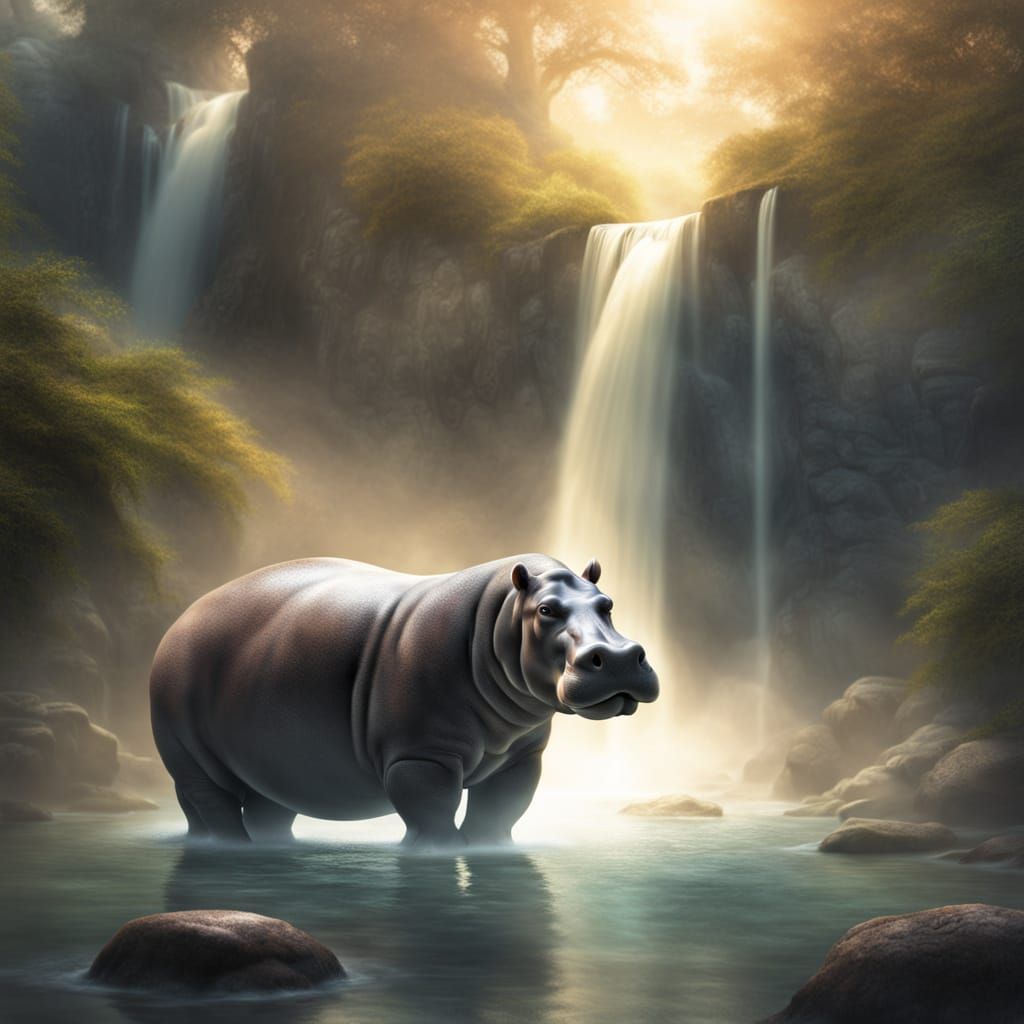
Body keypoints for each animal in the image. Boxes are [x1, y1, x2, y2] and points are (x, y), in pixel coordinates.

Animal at [150, 554, 659, 847]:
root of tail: (181, 619)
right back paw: (233, 849)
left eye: (608, 603)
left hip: (270, 758)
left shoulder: (520, 758)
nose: (618, 657)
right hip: (187, 747)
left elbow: (500, 811)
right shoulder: (420, 756)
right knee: (212, 801)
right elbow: (430, 809)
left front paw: (491, 852)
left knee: (258, 805)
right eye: (546, 610)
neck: (498, 614)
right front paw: (441, 854)